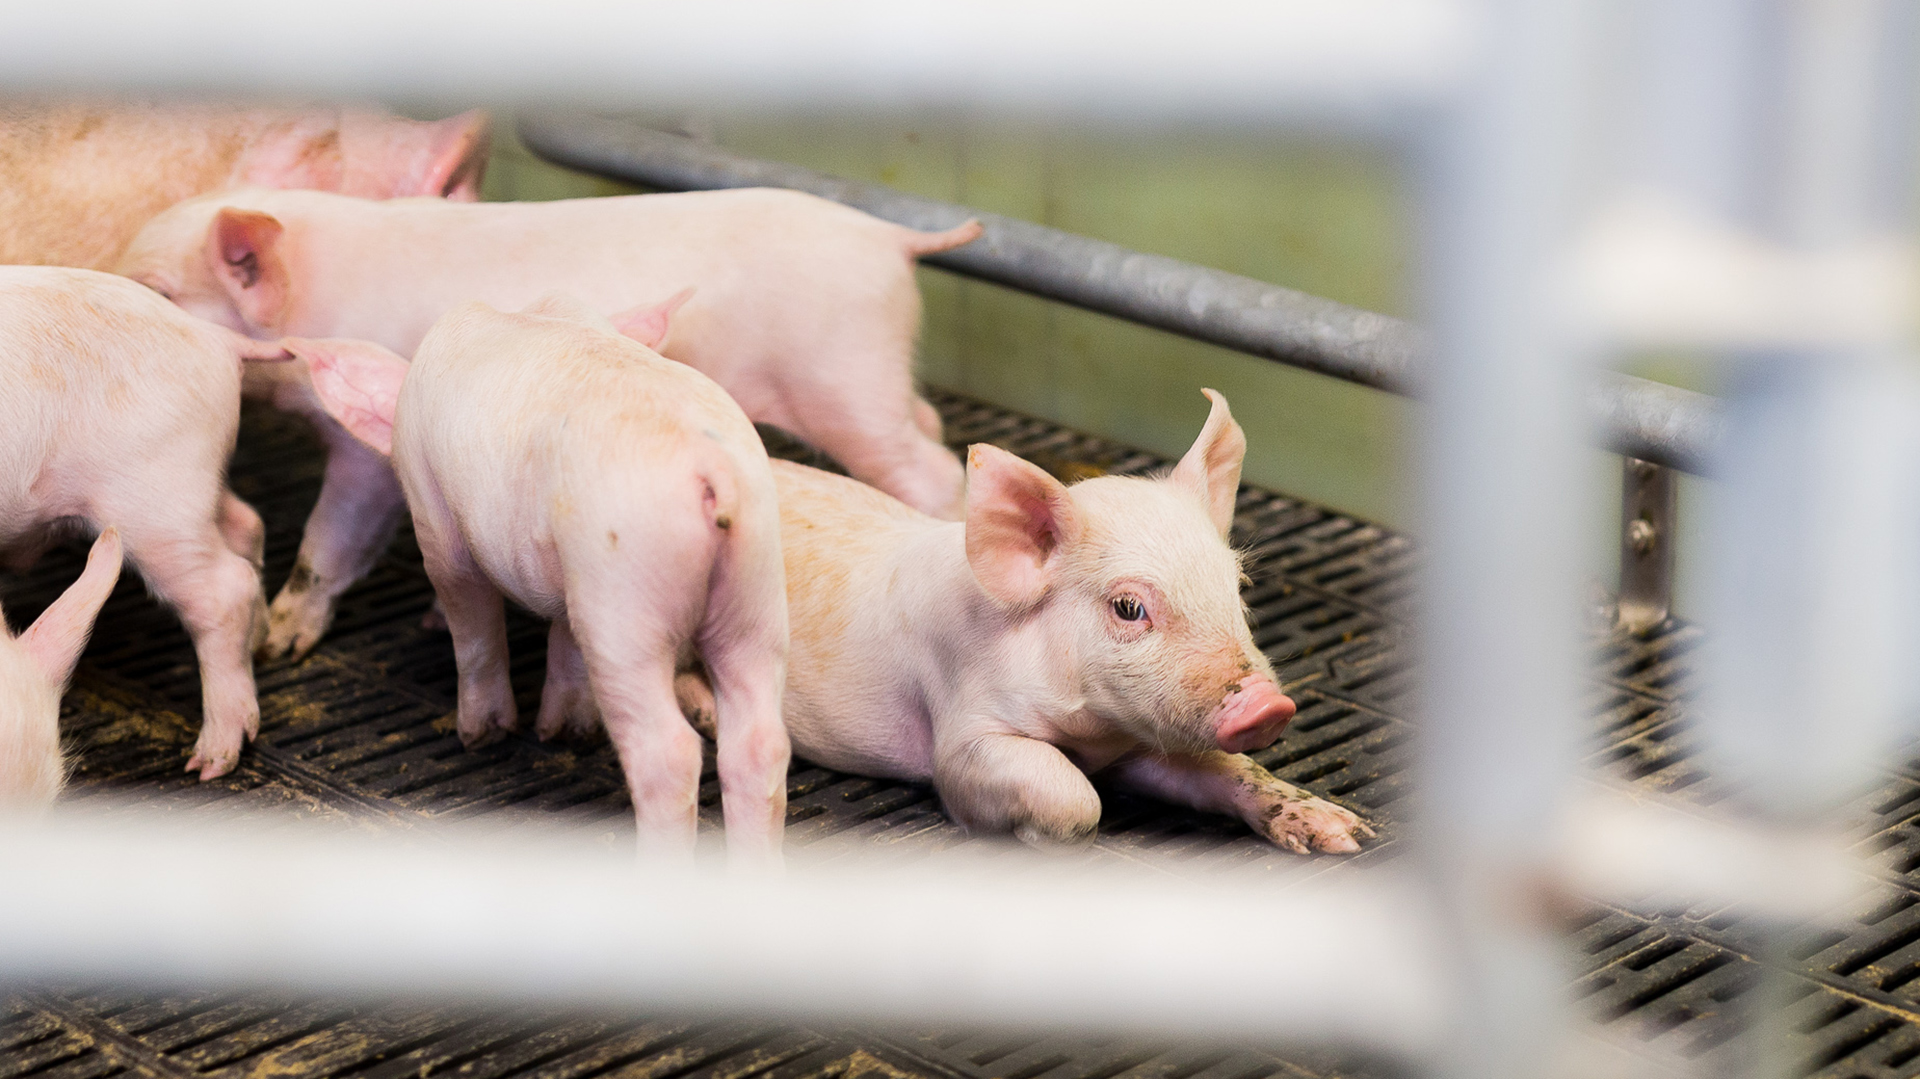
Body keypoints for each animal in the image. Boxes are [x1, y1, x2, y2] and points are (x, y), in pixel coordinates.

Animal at [0, 267, 282, 780]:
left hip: (155, 499)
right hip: (194, 487)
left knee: (226, 589)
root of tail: (214, 338)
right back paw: (261, 643)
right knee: (247, 526)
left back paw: (210, 762)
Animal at [114, 186, 979, 662]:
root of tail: (893, 237)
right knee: (930, 422)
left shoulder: (369, 444)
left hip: (845, 377)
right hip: (874, 373)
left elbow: (336, 532)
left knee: (932, 470)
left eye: (160, 290)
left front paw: (281, 642)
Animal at [290, 293, 791, 861]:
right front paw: (560, 732)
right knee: (759, 744)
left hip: (624, 596)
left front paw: (483, 735)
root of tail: (713, 470)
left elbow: (472, 622)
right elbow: (564, 641)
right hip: (755, 587)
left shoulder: (435, 519)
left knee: (670, 753)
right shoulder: (565, 572)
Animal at [679, 390, 1374, 854]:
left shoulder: (1138, 738)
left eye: (1238, 587)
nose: (1268, 706)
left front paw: (1347, 835)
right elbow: (1074, 796)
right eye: (1128, 607)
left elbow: (1230, 770)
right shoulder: (962, 736)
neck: (1091, 730)